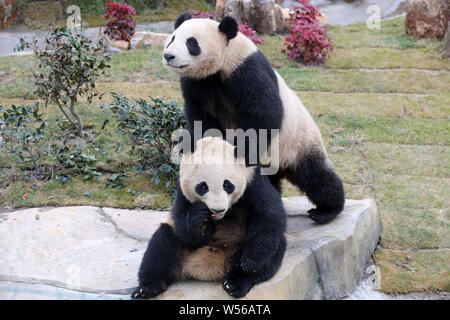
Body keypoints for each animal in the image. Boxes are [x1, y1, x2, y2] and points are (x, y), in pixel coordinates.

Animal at [134, 137, 286, 298]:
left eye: (227, 185)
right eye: (203, 186)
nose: (217, 209)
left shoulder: (252, 182)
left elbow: (267, 215)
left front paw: (251, 262)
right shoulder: (182, 190)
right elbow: (182, 222)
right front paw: (200, 218)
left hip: (241, 245)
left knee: (271, 252)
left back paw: (234, 283)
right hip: (182, 249)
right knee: (161, 246)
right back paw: (148, 288)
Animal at [163, 11, 346, 222]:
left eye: (192, 42)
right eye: (172, 38)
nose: (168, 56)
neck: (221, 66)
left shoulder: (246, 71)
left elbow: (265, 113)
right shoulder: (197, 83)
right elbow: (201, 118)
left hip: (298, 144)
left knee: (315, 176)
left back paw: (327, 210)